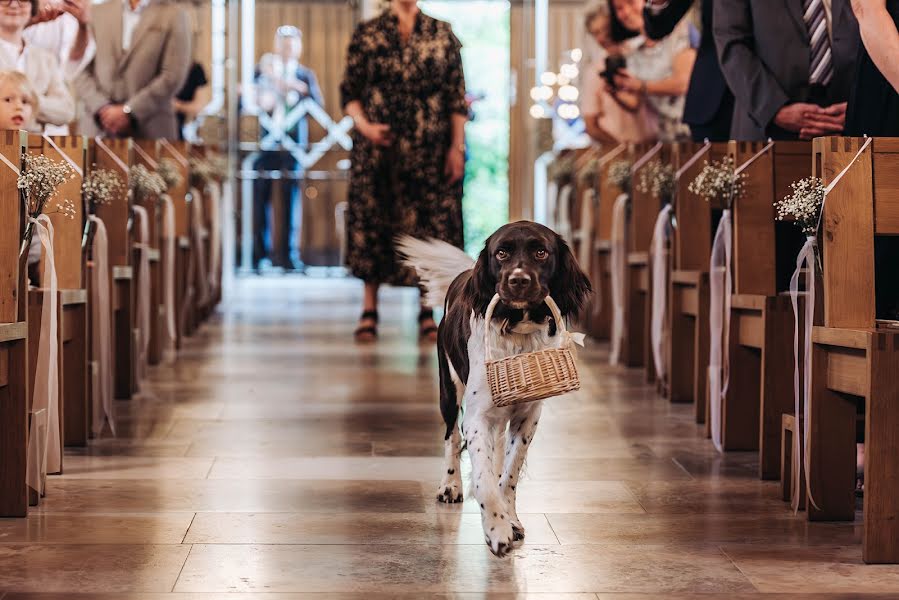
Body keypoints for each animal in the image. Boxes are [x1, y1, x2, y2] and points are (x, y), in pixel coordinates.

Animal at [398, 221, 596, 556]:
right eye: (501, 253)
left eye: (541, 252)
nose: (518, 280)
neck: (518, 331)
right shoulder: (477, 417)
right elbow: (484, 478)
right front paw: (496, 529)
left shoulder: (527, 417)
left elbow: (509, 474)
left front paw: (510, 520)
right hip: (449, 391)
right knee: (451, 437)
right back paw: (450, 485)